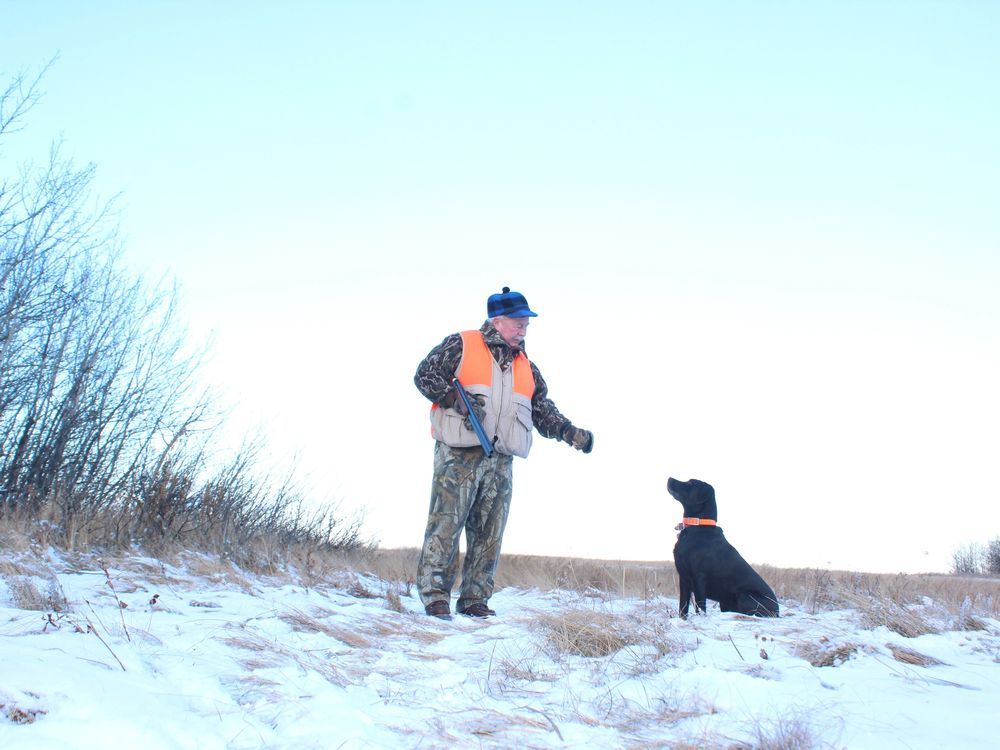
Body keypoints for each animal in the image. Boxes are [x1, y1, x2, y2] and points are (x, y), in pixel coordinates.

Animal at [668, 478, 776, 620]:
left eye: (690, 483)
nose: (669, 478)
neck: (697, 525)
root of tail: (778, 609)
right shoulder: (684, 577)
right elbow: (683, 606)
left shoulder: (699, 576)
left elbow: (700, 606)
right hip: (725, 602)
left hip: (745, 596)